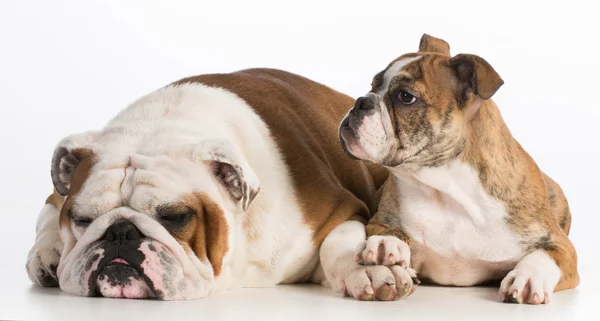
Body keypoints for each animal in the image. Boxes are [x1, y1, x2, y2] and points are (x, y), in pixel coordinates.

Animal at [24, 68, 422, 300]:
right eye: (83, 220)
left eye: (176, 217)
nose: (120, 233)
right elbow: (49, 212)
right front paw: (48, 251)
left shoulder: (340, 209)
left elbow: (339, 241)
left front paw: (368, 267)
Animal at [340, 33, 580, 304]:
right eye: (372, 86)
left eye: (405, 97)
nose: (360, 102)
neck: (446, 189)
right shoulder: (378, 219)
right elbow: (384, 229)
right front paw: (385, 244)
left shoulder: (561, 245)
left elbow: (547, 255)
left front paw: (529, 277)